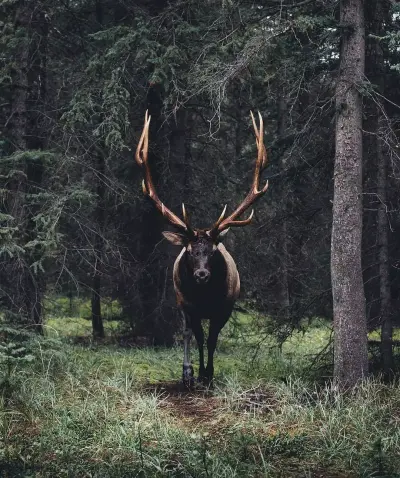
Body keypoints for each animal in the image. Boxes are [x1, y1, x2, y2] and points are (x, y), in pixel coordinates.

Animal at [134, 112, 268, 384]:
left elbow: (212, 340)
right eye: (189, 250)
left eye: (214, 250)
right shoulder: (191, 307)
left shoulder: (224, 308)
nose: (202, 274)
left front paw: (209, 373)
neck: (206, 298)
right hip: (180, 300)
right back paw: (187, 371)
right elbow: (196, 337)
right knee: (185, 332)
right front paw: (197, 372)